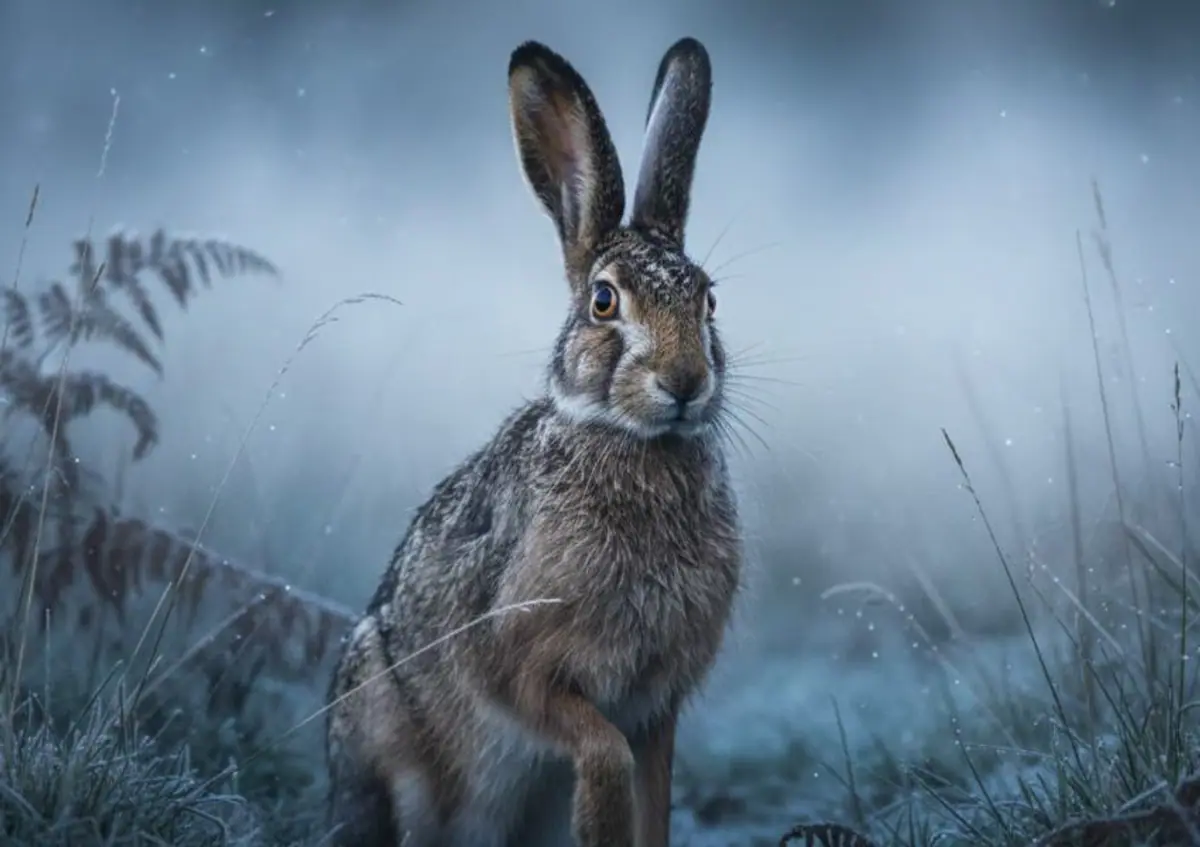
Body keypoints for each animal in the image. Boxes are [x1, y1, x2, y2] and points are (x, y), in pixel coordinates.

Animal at [325, 35, 742, 847]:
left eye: (709, 300)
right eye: (604, 301)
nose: (684, 381)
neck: (635, 442)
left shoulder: (659, 703)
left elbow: (653, 801)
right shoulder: (519, 665)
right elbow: (599, 749)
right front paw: (601, 817)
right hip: (393, 754)